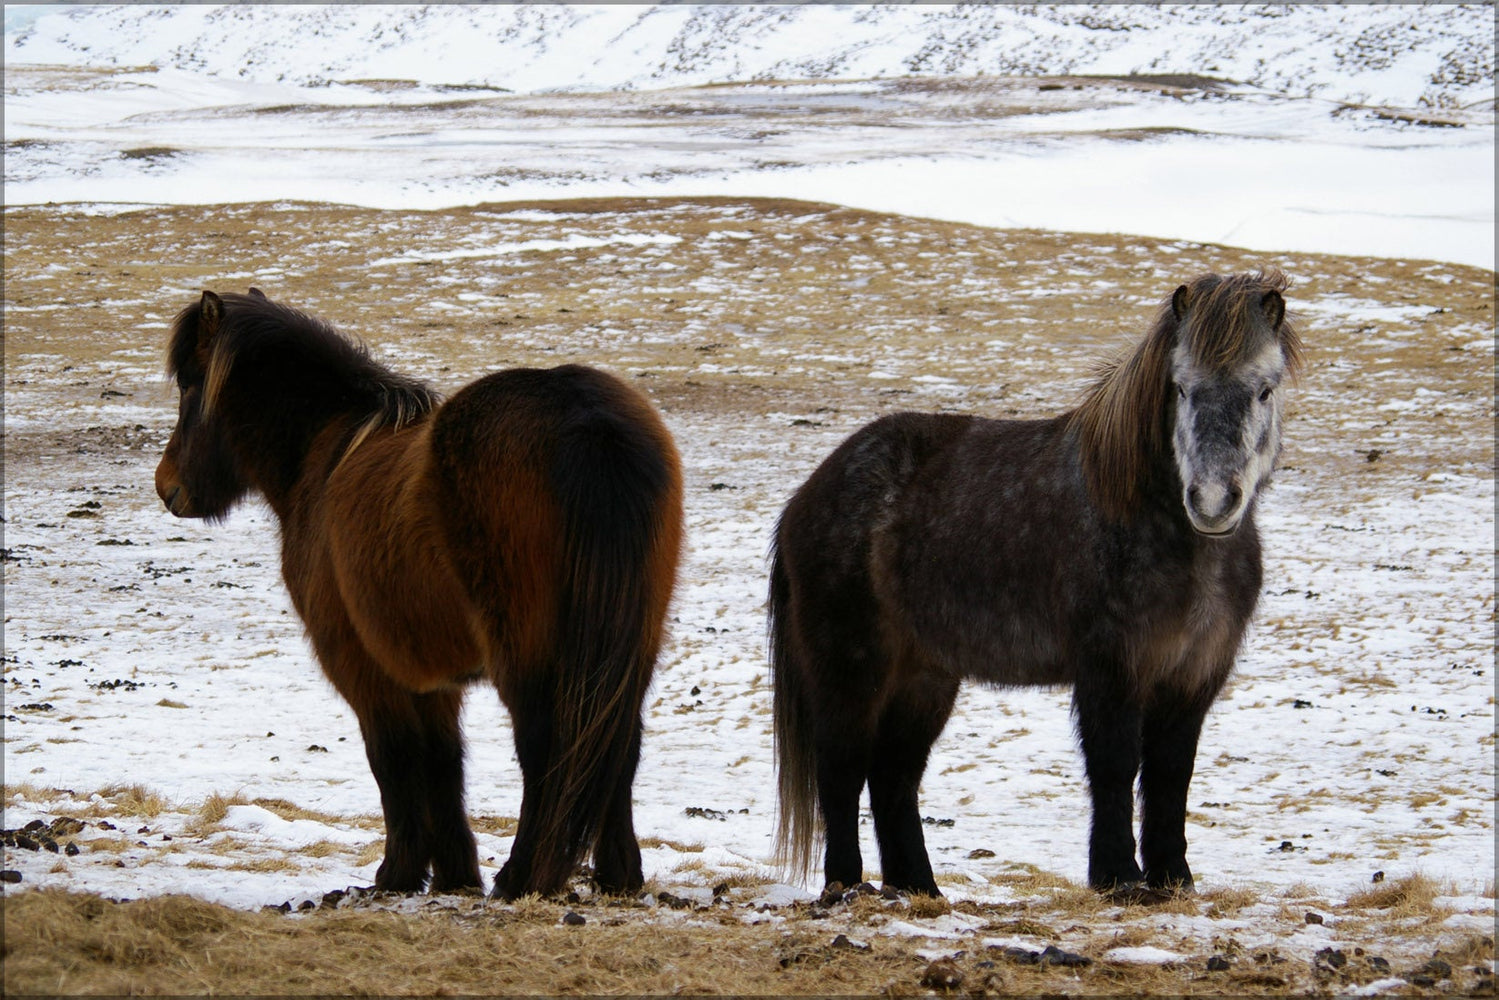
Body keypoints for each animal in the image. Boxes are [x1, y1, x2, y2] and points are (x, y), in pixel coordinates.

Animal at [155, 290, 683, 899]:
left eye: (190, 385)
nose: (167, 486)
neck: (324, 453)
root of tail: (588, 419)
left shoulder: (363, 666)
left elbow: (393, 759)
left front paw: (398, 874)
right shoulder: (431, 676)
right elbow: (444, 763)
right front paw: (455, 875)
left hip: (529, 655)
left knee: (547, 747)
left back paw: (521, 876)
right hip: (629, 646)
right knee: (618, 745)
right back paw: (619, 875)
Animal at [773, 271, 1301, 899]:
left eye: (1265, 390)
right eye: (1181, 388)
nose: (1213, 501)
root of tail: (808, 495)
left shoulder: (1193, 674)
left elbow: (1171, 774)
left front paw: (1173, 879)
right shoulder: (1111, 668)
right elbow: (1115, 766)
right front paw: (1118, 877)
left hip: (924, 676)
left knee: (892, 776)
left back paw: (920, 889)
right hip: (852, 666)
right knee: (842, 769)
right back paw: (846, 886)